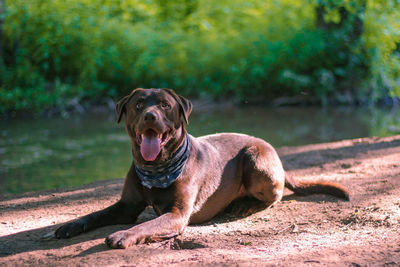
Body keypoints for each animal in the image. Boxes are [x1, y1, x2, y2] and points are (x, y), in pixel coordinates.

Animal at [54, 88, 348, 249]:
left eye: (165, 105)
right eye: (138, 105)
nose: (150, 116)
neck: (156, 168)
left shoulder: (177, 214)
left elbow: (146, 225)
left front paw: (123, 235)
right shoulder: (126, 206)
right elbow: (94, 214)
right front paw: (69, 226)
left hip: (254, 159)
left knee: (274, 197)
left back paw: (244, 205)